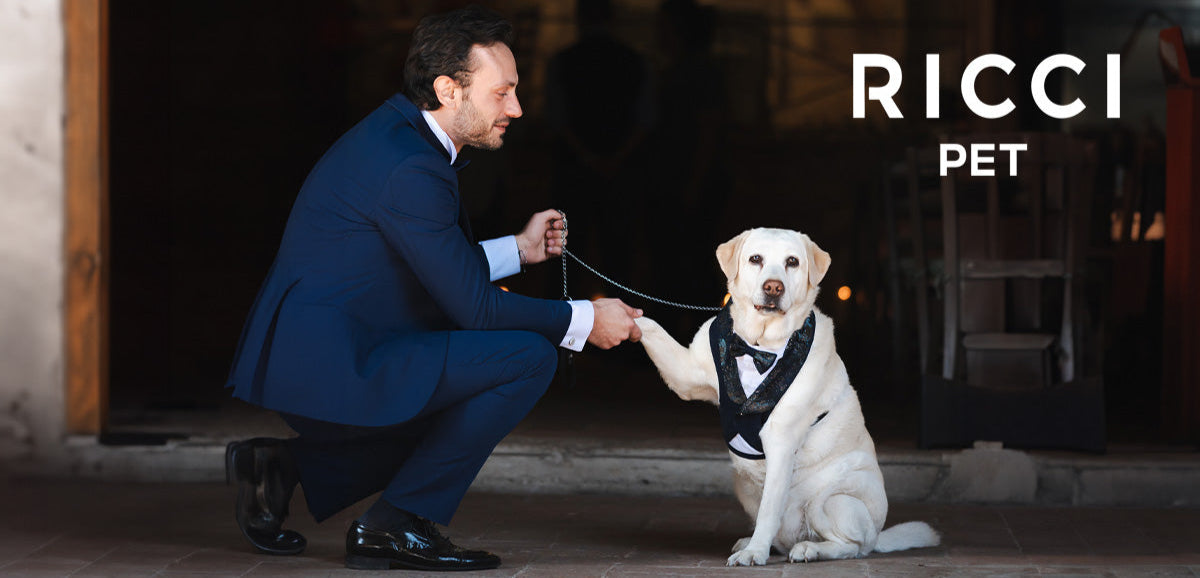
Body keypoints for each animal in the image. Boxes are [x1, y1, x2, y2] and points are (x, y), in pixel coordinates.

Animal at [633, 229, 940, 563]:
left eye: (792, 262)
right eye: (755, 259)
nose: (773, 287)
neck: (758, 346)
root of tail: (878, 536)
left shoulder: (779, 439)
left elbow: (770, 511)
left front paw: (755, 553)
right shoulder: (685, 373)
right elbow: (649, 327)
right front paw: (618, 315)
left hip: (830, 502)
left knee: (851, 547)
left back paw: (808, 549)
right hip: (744, 484)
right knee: (783, 536)